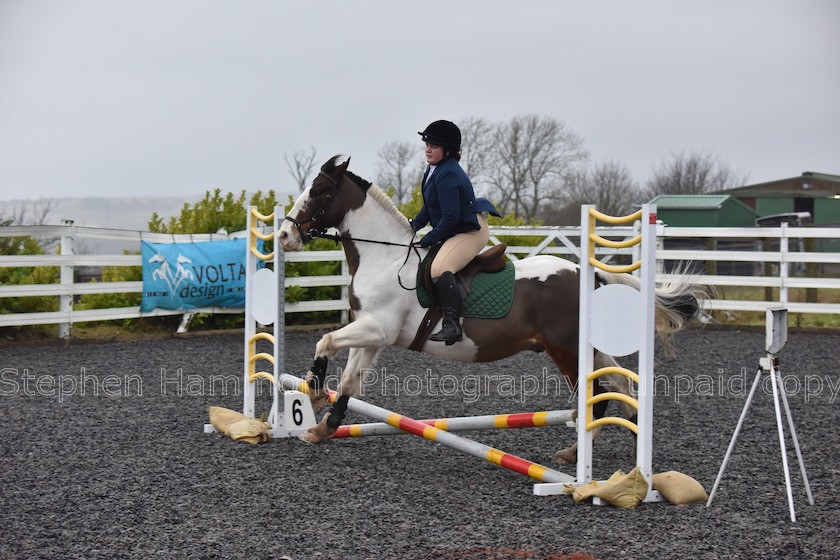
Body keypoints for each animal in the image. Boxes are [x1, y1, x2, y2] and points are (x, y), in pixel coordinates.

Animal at [278, 154, 704, 464]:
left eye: (318, 190)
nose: (283, 235)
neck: (385, 257)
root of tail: (588, 275)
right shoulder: (373, 333)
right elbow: (350, 380)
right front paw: (322, 428)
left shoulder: (377, 327)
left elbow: (325, 341)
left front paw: (313, 390)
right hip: (588, 348)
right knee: (618, 386)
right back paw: (611, 455)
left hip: (567, 350)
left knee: (597, 395)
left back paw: (581, 459)